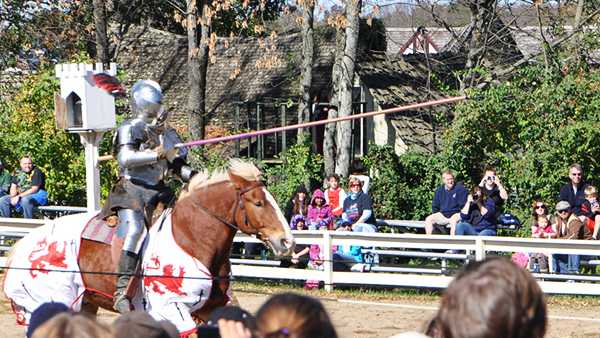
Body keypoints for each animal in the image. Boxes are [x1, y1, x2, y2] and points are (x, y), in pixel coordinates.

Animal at [4, 160, 296, 334]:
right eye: (258, 202)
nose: (287, 241)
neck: (191, 238)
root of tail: (24, 244)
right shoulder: (174, 309)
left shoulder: (212, 307)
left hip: (85, 304)